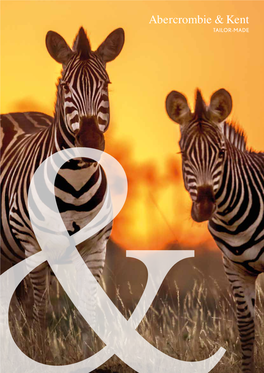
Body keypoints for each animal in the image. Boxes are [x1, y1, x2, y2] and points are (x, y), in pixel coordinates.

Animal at [0, 26, 124, 332]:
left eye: (106, 85)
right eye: (66, 87)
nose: (90, 141)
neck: (76, 183)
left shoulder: (95, 248)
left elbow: (89, 312)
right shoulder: (33, 244)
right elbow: (40, 312)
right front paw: (38, 345)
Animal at [166, 88, 262, 372]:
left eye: (220, 152)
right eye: (183, 154)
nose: (206, 205)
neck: (234, 223)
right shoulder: (234, 269)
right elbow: (246, 329)